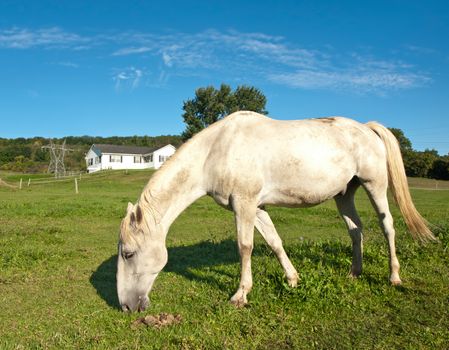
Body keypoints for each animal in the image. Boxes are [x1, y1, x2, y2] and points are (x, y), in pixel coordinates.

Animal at [116, 111, 434, 312]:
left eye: (128, 254)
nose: (126, 306)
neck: (217, 150)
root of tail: (366, 128)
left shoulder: (244, 205)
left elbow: (245, 247)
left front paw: (240, 295)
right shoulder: (256, 207)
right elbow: (274, 242)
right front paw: (292, 279)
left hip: (374, 186)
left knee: (387, 226)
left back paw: (394, 277)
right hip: (344, 195)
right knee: (356, 231)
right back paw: (354, 273)